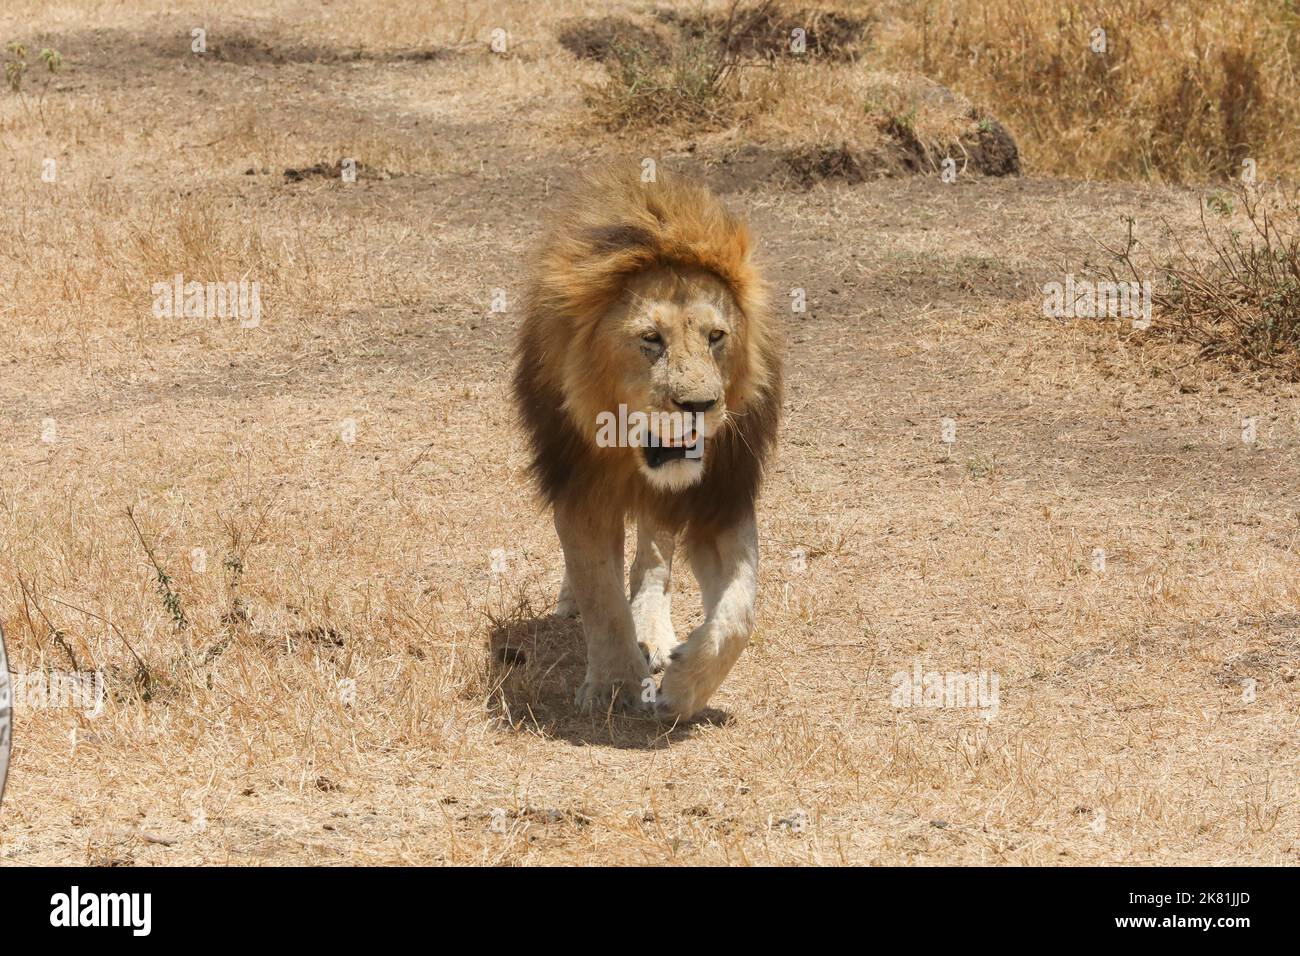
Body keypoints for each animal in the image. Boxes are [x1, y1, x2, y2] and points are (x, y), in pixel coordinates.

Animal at [512, 167, 780, 723]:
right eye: (651, 339)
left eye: (716, 336)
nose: (700, 404)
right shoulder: (581, 492)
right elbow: (600, 593)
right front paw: (614, 684)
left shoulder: (720, 497)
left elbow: (741, 611)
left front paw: (684, 686)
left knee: (654, 555)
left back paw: (654, 632)